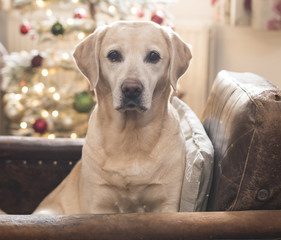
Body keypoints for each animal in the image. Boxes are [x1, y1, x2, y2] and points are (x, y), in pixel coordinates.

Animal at [32, 21, 191, 215]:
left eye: (153, 56)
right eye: (113, 55)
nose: (131, 89)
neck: (130, 135)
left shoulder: (167, 203)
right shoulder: (99, 204)